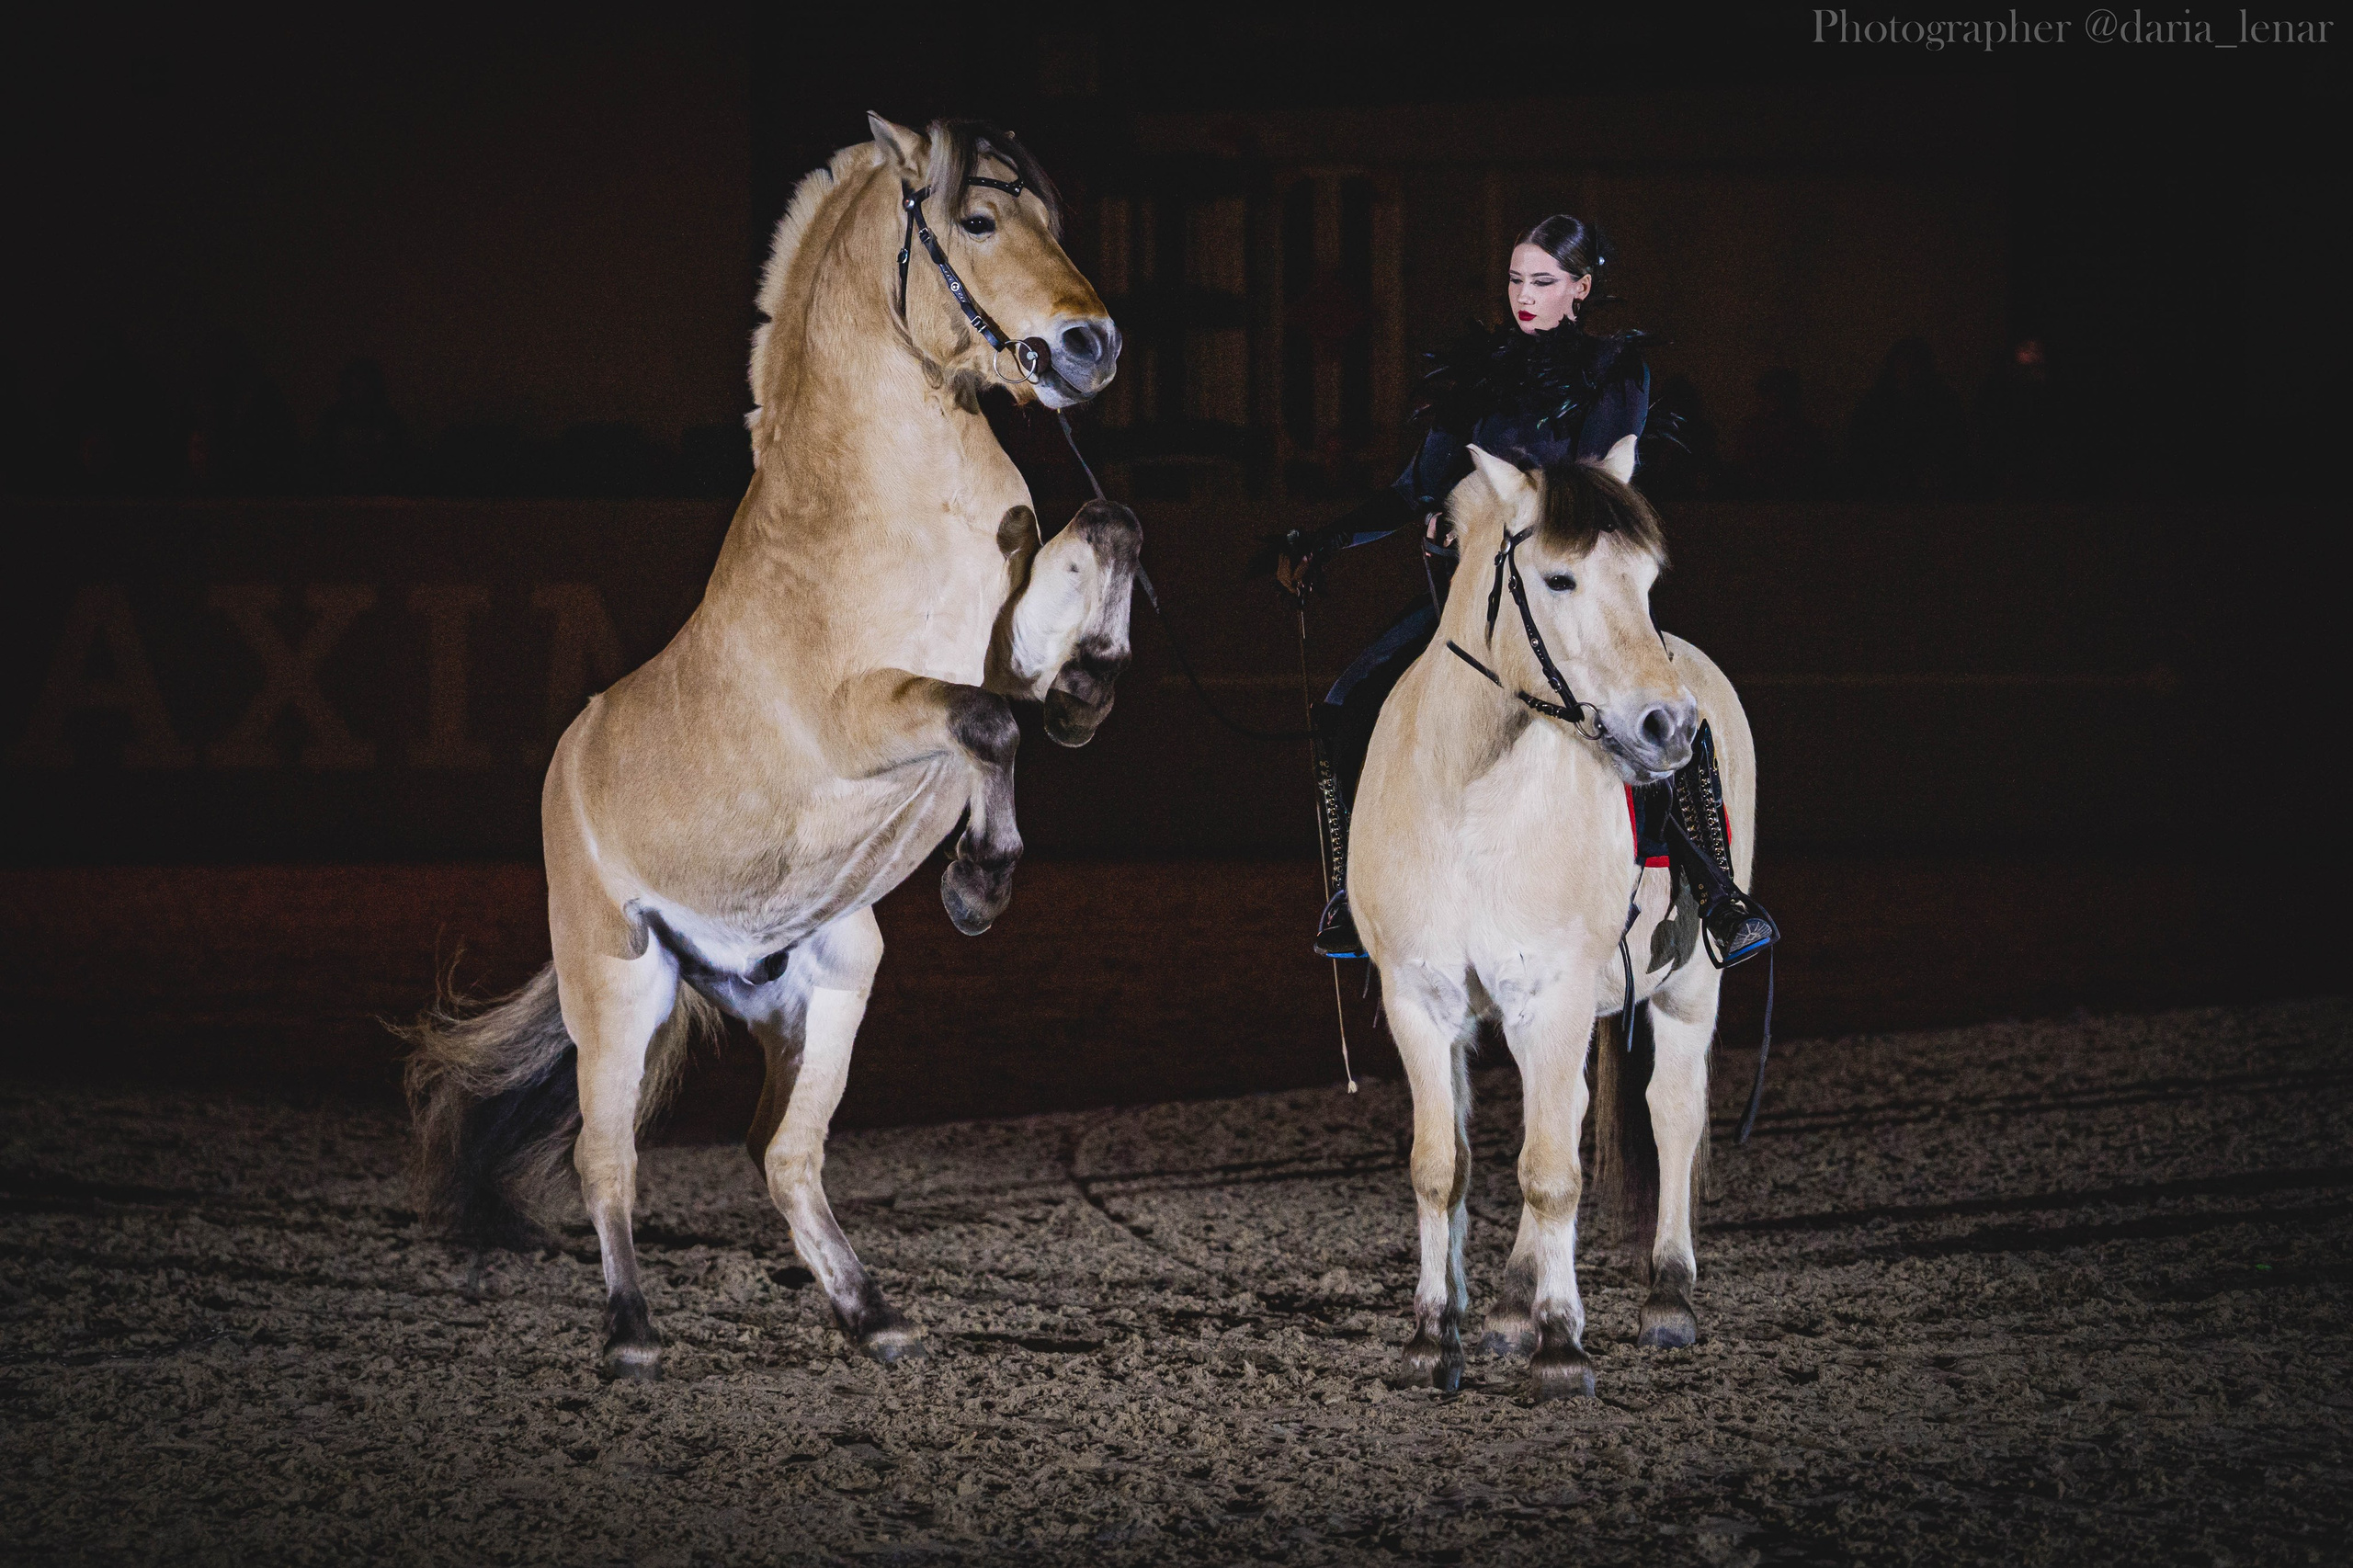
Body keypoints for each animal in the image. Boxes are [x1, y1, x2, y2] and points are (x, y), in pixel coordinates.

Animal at [399, 115, 1139, 1379]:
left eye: (1049, 216)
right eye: (979, 218)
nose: (1091, 347)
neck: (889, 502)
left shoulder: (1005, 643)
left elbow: (1091, 573)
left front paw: (1088, 685)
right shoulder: (864, 715)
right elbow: (986, 723)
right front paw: (979, 883)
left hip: (832, 982)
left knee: (783, 1154)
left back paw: (875, 1316)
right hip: (619, 986)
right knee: (606, 1157)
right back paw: (633, 1336)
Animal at [1348, 440, 1757, 1401]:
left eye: (1645, 579)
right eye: (1560, 578)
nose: (1668, 725)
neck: (1466, 795)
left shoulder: (1556, 996)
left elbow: (1551, 1175)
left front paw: (1563, 1346)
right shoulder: (1420, 1003)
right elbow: (1441, 1169)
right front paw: (1433, 1336)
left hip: (1689, 987)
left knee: (1672, 1110)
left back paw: (1667, 1295)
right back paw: (1507, 1305)